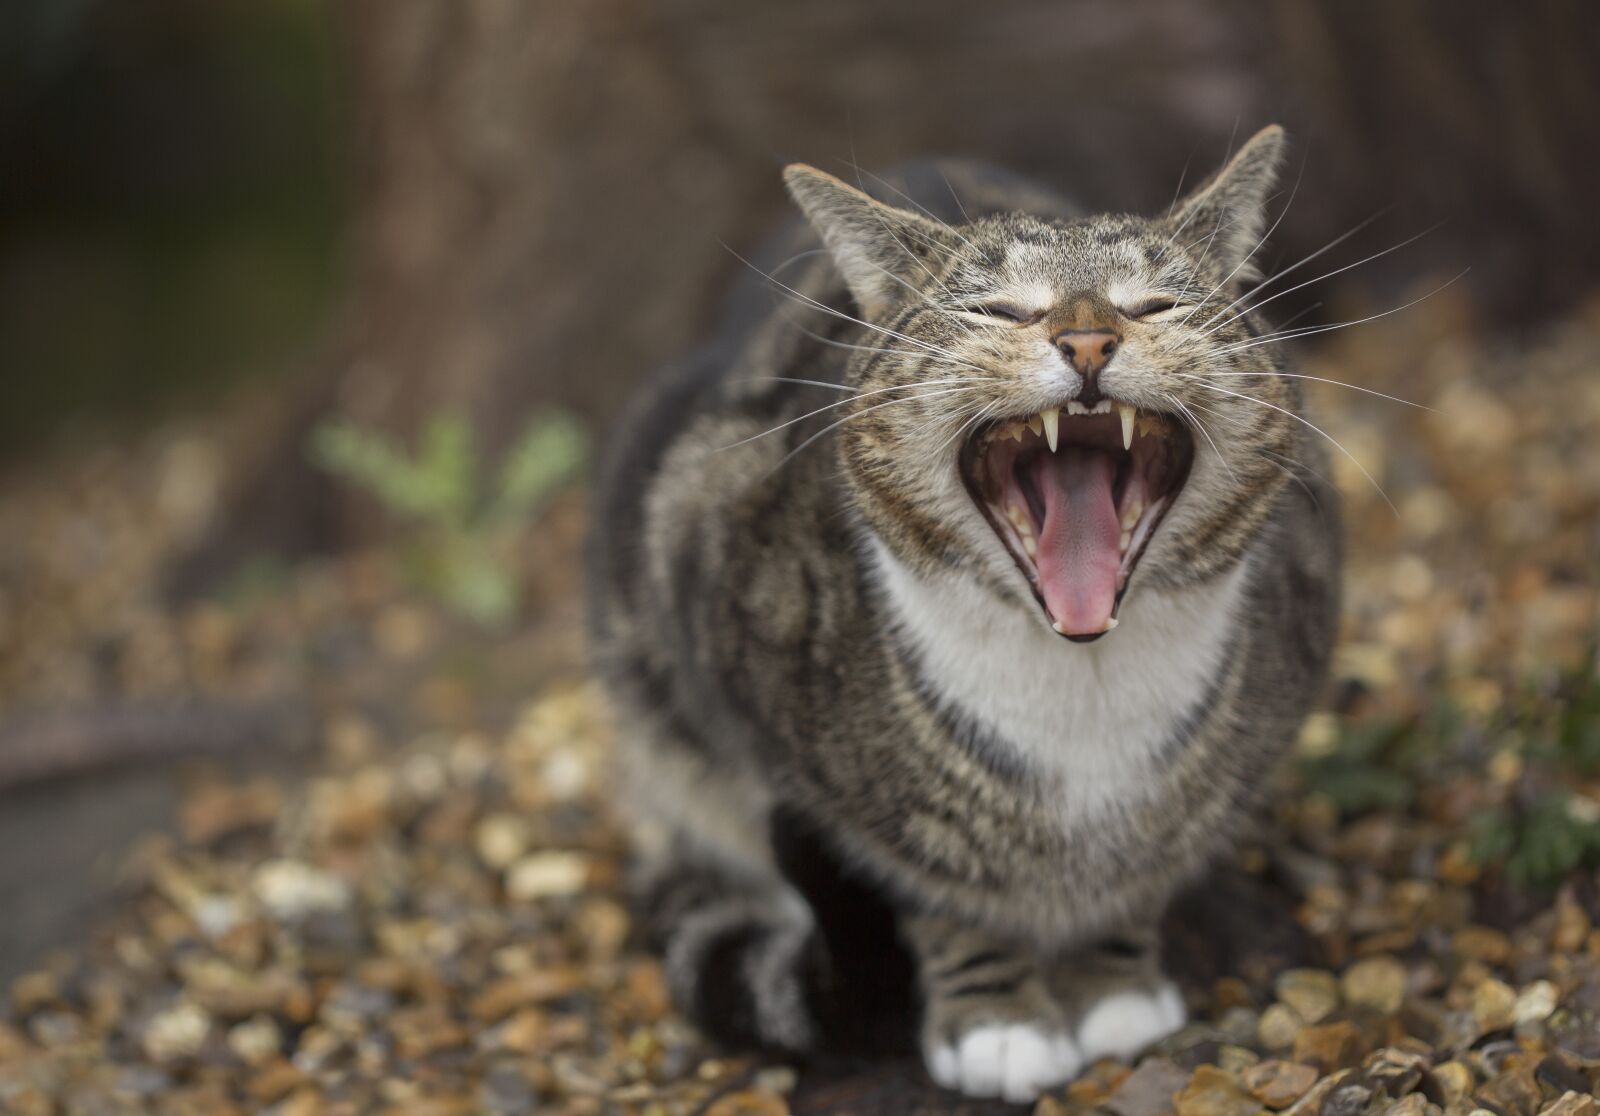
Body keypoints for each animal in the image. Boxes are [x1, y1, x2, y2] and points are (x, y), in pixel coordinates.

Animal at [588, 123, 1337, 1093]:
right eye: (999, 310)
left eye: (1156, 303)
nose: (1088, 342)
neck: (1083, 680)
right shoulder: (812, 760)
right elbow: (931, 883)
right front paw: (997, 1020)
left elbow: (1147, 865)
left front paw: (1114, 985)